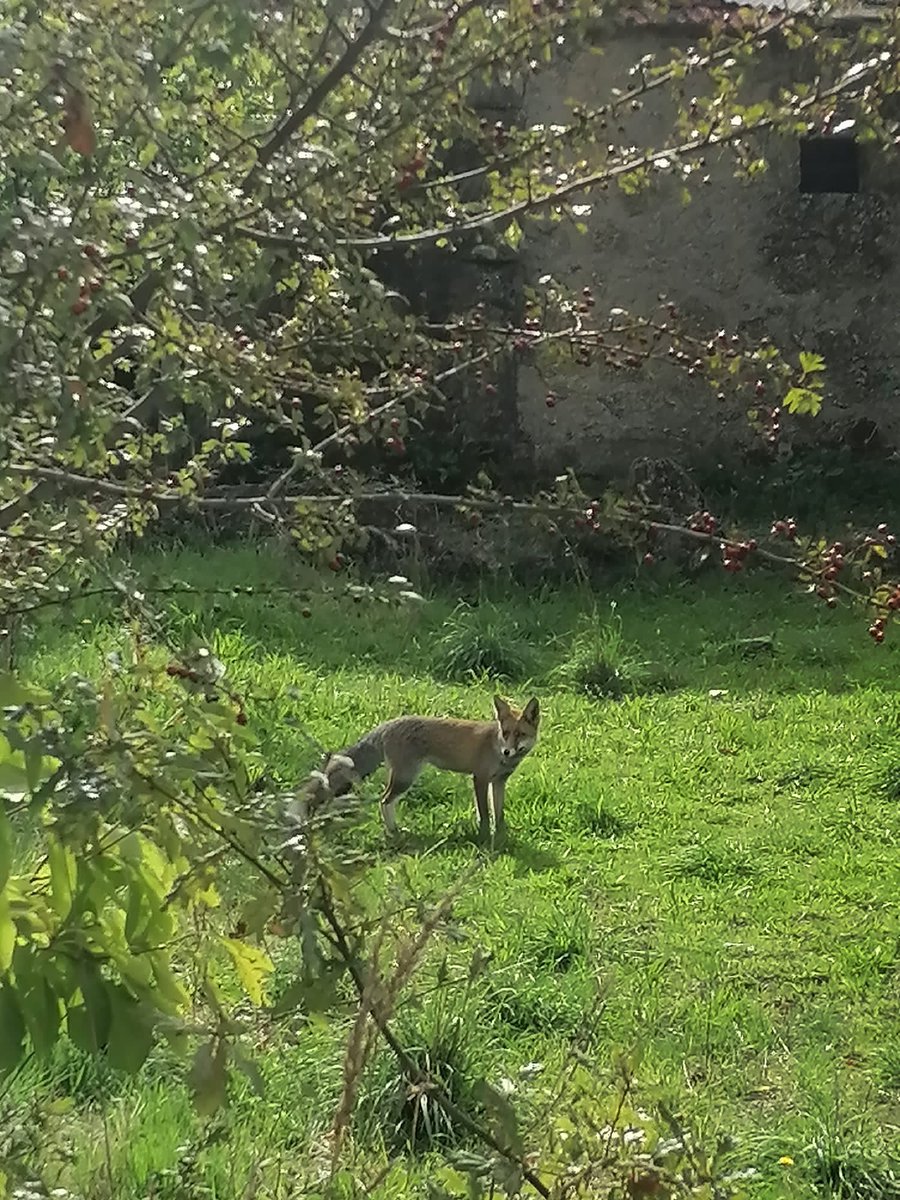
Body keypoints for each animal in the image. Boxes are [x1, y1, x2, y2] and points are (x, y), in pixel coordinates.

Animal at [316, 695, 540, 840]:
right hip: (405, 778)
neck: (495, 746)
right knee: (384, 800)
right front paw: (484, 838)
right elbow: (484, 814)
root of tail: (389, 724)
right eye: (506, 733)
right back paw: (393, 832)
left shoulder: (499, 782)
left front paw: (500, 835)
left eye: (520, 734)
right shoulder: (480, 779)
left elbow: (498, 813)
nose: (507, 752)